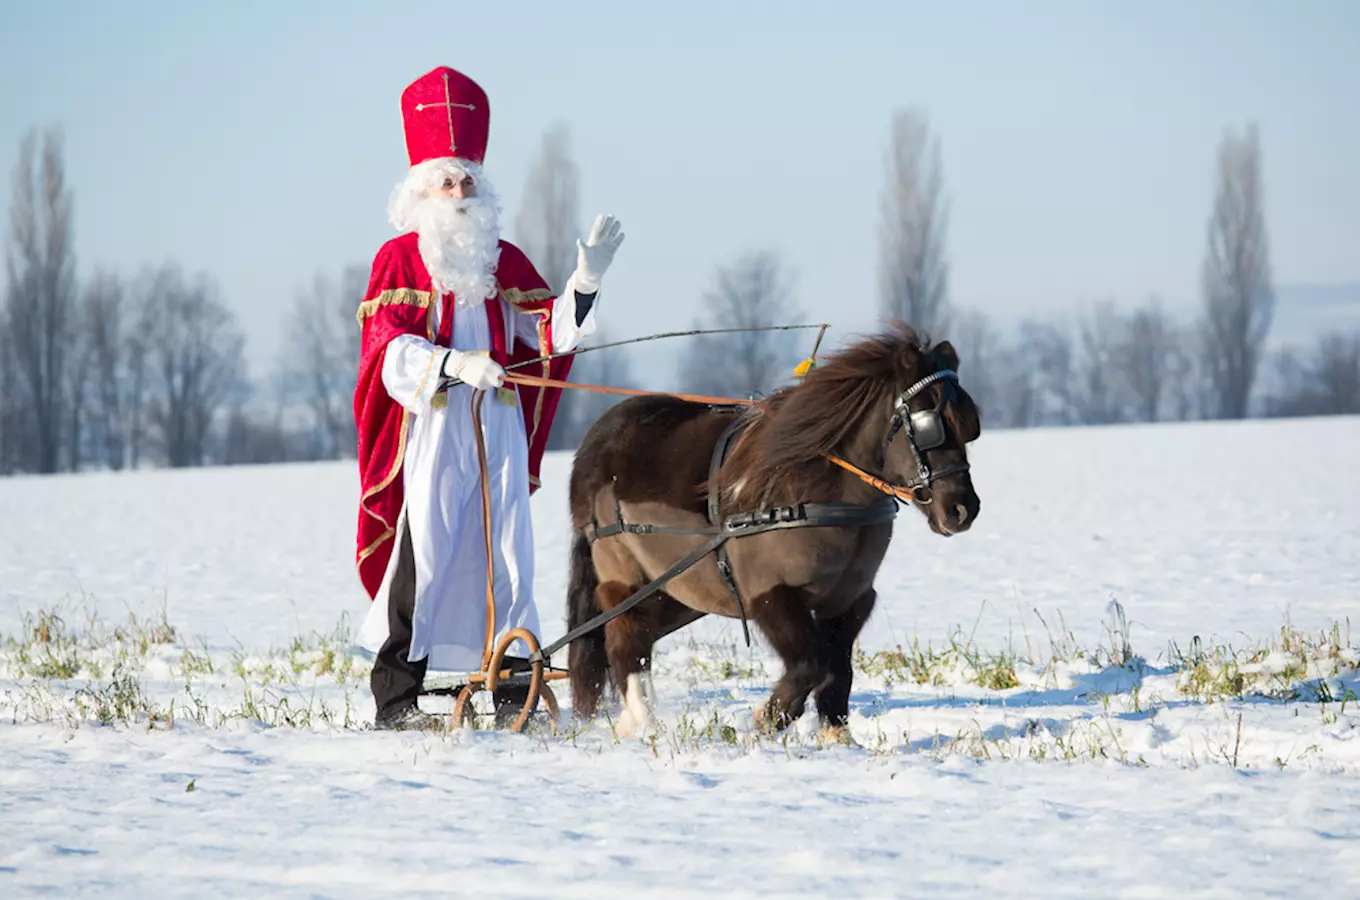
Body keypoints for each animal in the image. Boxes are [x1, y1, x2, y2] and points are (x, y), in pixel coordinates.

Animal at [560, 322, 979, 739]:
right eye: (927, 425)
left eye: (969, 425)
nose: (962, 509)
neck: (815, 491)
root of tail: (596, 443)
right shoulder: (770, 594)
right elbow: (811, 664)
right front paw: (770, 716)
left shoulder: (850, 599)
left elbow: (838, 671)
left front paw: (837, 736)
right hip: (623, 571)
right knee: (625, 638)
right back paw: (642, 721)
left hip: (679, 586)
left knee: (641, 633)